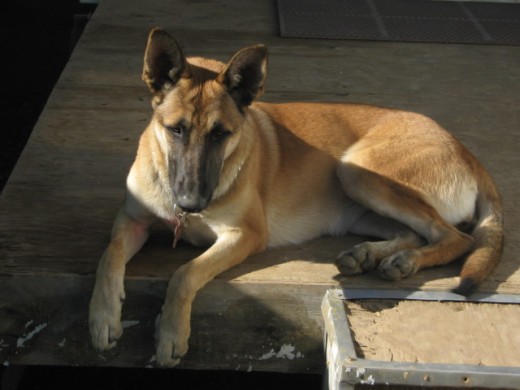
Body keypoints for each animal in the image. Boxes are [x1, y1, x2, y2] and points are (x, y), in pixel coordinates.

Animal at [89, 27, 504, 366]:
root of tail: (464, 149)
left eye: (221, 134)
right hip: (359, 202)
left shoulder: (244, 235)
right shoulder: (131, 220)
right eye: (176, 130)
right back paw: (370, 254)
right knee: (417, 233)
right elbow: (109, 256)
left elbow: (184, 273)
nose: (191, 204)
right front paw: (102, 316)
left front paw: (171, 333)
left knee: (455, 237)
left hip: (357, 171)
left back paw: (406, 261)